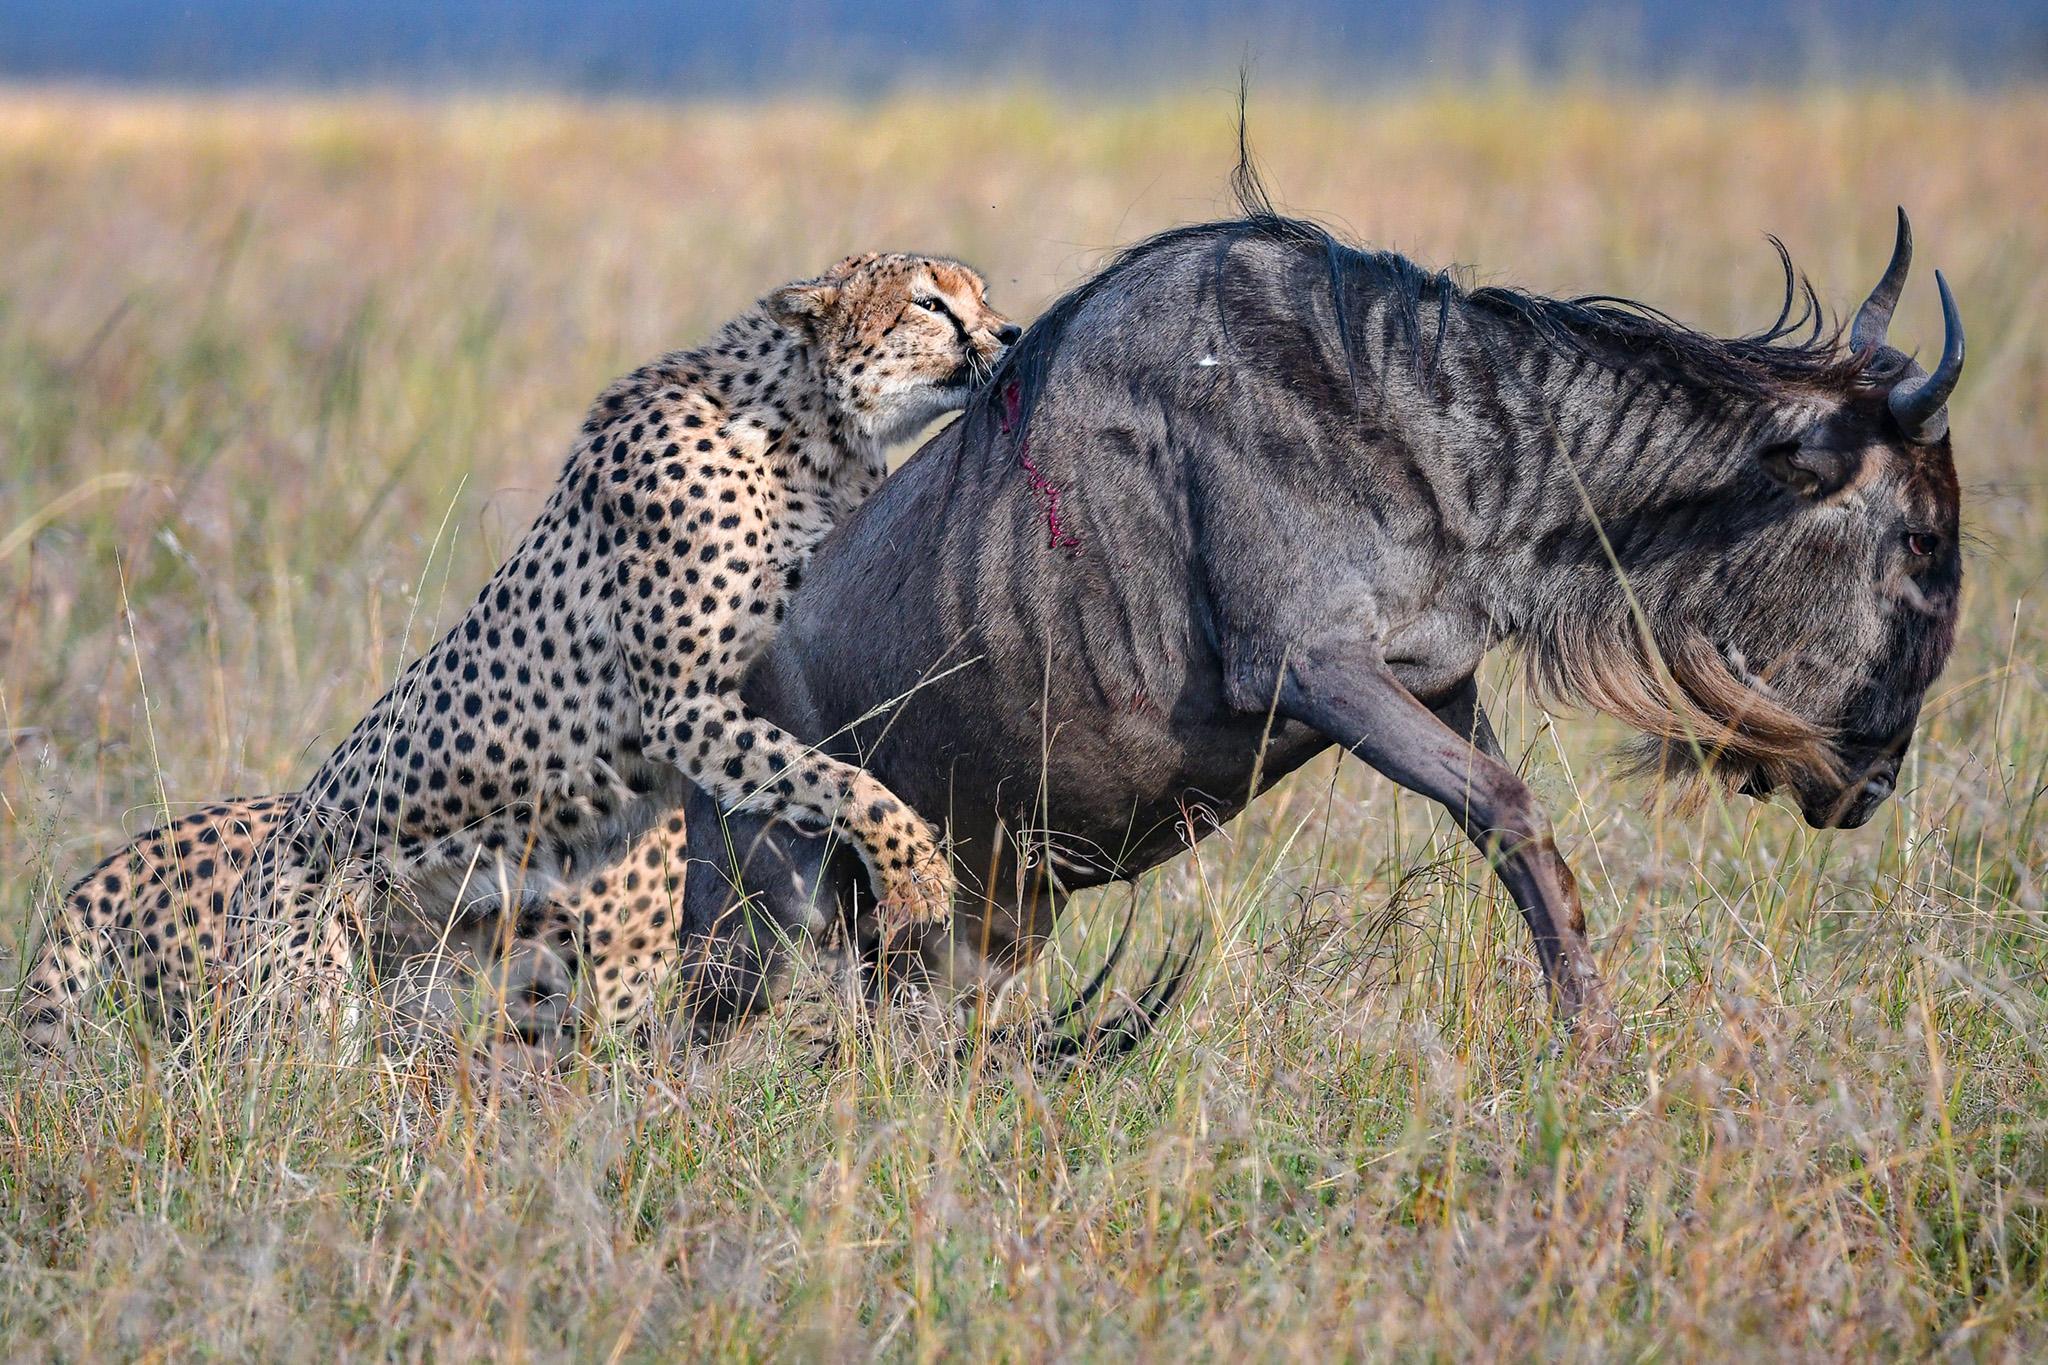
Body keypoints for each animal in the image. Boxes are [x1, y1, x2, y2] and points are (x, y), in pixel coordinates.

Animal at [224, 253, 1015, 1023]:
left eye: (980, 293)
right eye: (928, 303)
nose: (1008, 333)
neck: (806, 431)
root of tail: (259, 862)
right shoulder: (683, 708)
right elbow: (835, 777)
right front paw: (916, 869)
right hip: (313, 991)